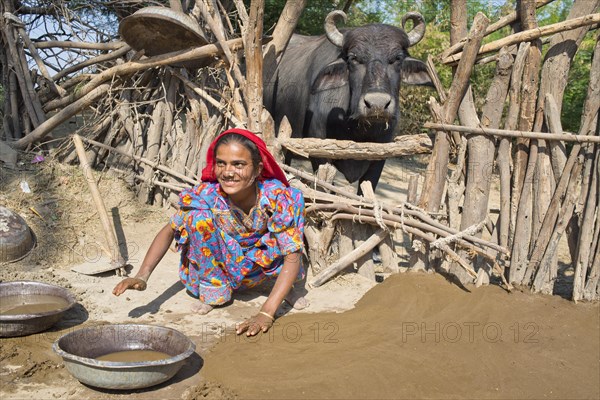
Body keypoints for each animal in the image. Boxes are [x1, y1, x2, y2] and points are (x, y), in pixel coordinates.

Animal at [266, 9, 432, 191]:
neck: (358, 131)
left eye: (397, 58)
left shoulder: (379, 160)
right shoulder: (320, 154)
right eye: (354, 58)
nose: (377, 104)